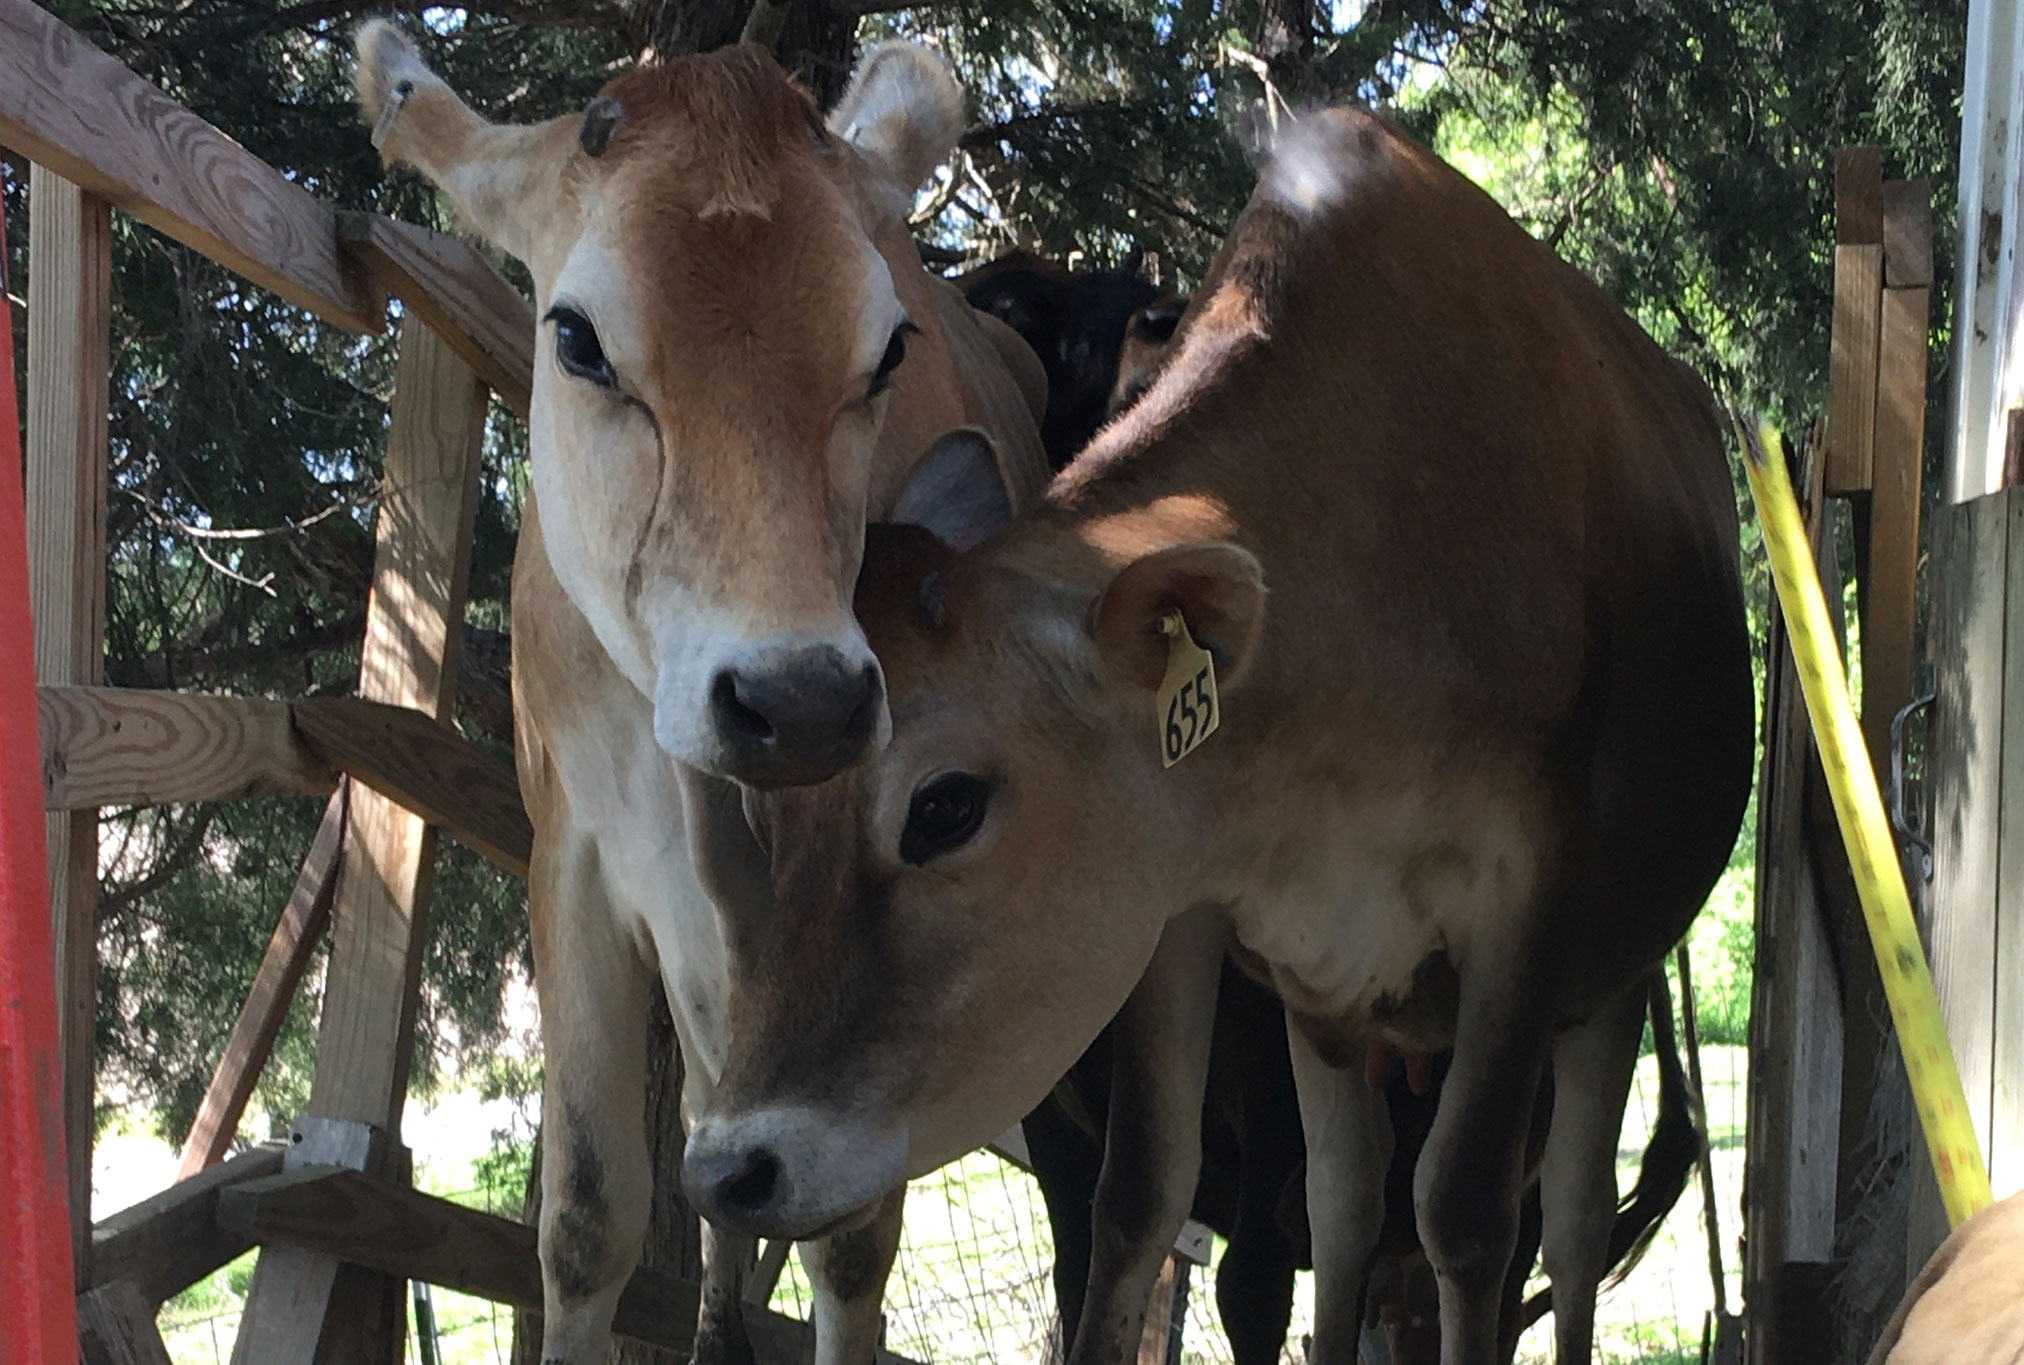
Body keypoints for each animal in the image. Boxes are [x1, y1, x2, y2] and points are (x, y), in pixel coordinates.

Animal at [351, 28, 1051, 1364]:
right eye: (576, 339)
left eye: (889, 349)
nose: (801, 700)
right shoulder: (572, 854)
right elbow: (588, 1214)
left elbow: (845, 1232)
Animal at [677, 105, 1753, 1365]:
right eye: (770, 814)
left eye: (942, 805)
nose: (728, 1170)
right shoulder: (1178, 900)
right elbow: (1141, 1199)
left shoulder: (1524, 911)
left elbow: (1467, 1213)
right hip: (1327, 1000)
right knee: (1341, 1205)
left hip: (1613, 985)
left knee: (1569, 1223)